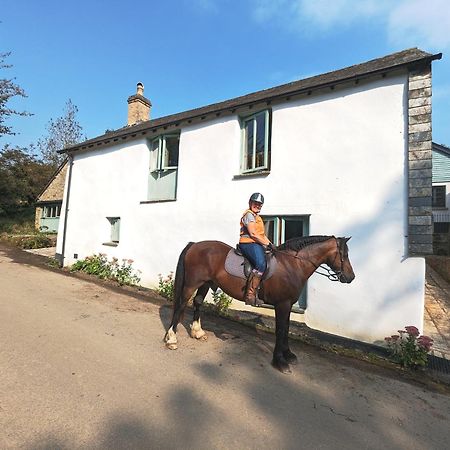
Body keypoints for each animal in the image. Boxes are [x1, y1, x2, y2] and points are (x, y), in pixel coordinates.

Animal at [165, 236, 356, 372]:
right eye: (344, 255)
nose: (351, 277)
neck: (293, 264)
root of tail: (195, 245)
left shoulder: (287, 305)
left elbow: (286, 329)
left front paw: (288, 354)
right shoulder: (282, 304)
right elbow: (280, 330)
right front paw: (280, 361)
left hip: (205, 283)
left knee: (197, 303)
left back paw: (197, 332)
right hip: (192, 284)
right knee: (181, 305)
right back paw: (172, 339)